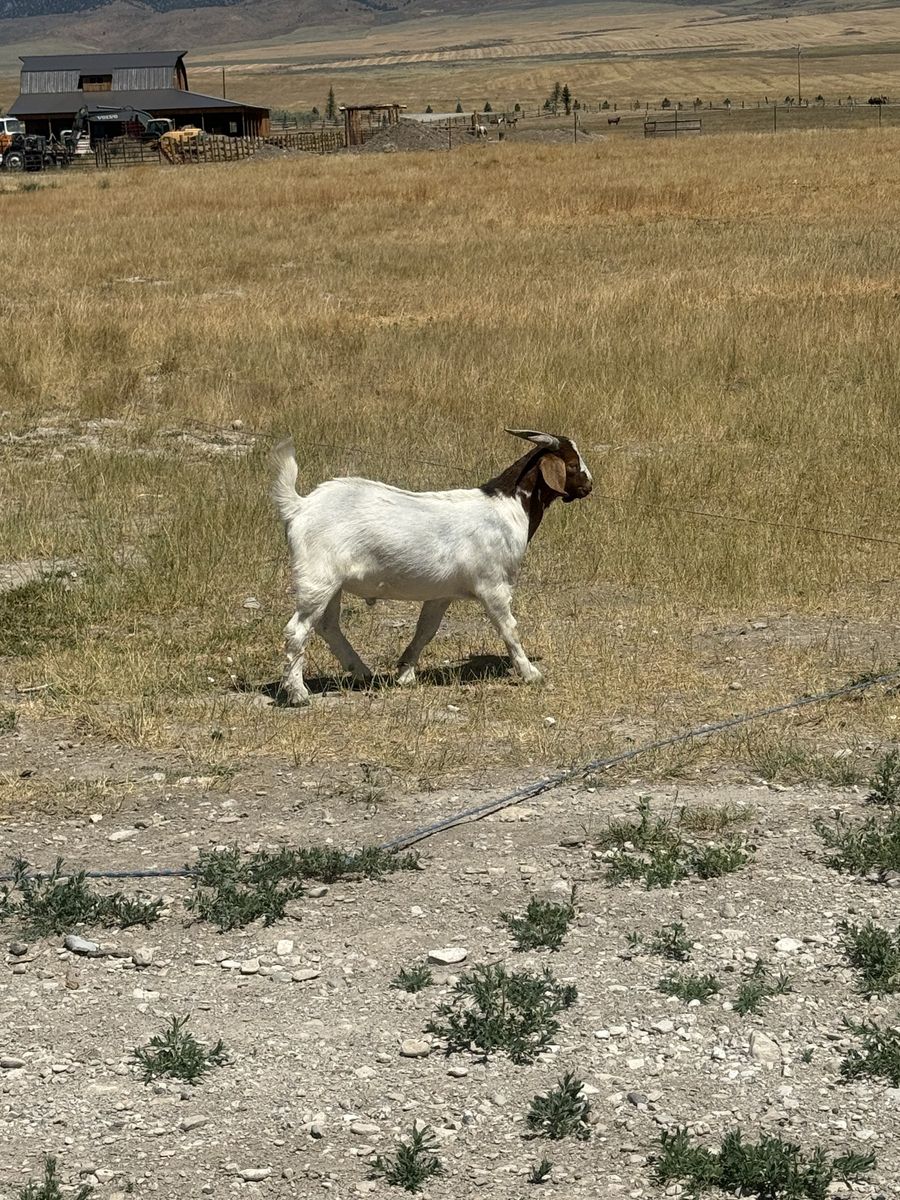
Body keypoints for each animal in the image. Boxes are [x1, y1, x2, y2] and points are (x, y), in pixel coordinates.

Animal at [270, 429, 593, 705]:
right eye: (572, 463)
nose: (590, 486)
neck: (509, 506)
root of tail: (300, 507)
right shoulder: (493, 585)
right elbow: (508, 629)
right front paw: (530, 673)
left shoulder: (441, 593)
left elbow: (426, 630)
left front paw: (405, 673)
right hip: (317, 578)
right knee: (297, 630)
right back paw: (298, 693)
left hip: (331, 583)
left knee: (327, 625)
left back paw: (361, 671)